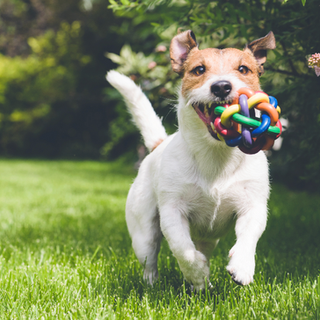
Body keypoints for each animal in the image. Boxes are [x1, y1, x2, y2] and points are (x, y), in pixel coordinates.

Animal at [106, 30, 276, 290]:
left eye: (243, 69)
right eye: (199, 70)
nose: (222, 86)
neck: (215, 154)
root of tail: (159, 144)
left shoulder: (253, 206)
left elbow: (249, 237)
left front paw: (242, 267)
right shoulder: (172, 211)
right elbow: (182, 249)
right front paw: (196, 272)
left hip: (209, 237)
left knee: (203, 248)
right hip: (143, 231)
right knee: (150, 258)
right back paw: (157, 283)